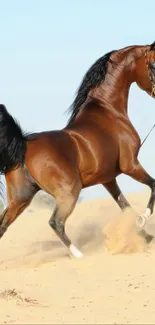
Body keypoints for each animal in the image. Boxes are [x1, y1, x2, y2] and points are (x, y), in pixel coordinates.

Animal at [0, 41, 155, 258]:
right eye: (153, 65)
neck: (108, 111)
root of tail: (23, 145)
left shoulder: (108, 179)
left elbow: (125, 205)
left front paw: (144, 235)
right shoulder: (130, 165)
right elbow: (153, 186)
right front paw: (143, 220)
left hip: (20, 199)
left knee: (3, 226)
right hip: (69, 193)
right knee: (56, 222)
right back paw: (80, 256)